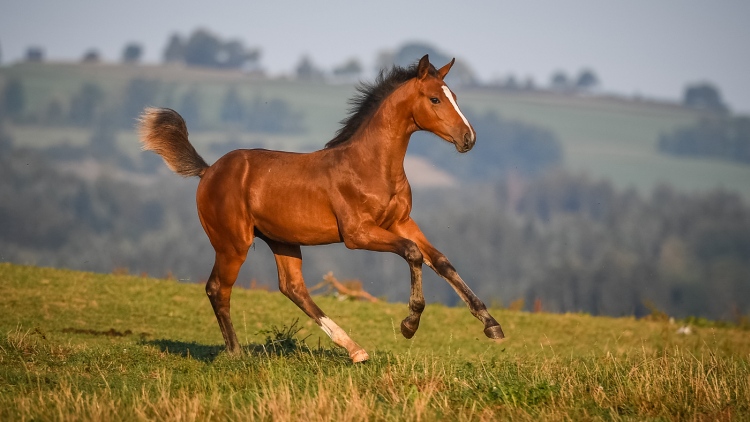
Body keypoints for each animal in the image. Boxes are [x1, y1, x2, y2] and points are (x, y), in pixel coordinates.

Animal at [139, 53, 508, 362]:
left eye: (454, 96)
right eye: (434, 99)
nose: (469, 138)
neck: (371, 166)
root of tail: (208, 171)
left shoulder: (402, 221)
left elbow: (442, 261)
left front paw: (492, 325)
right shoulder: (358, 234)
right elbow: (413, 253)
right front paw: (409, 324)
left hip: (283, 241)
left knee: (293, 288)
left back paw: (355, 349)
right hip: (233, 243)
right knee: (218, 288)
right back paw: (235, 353)